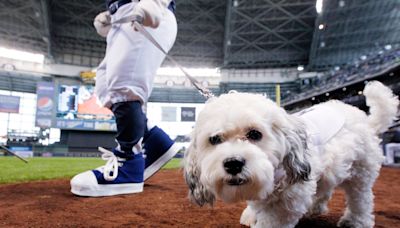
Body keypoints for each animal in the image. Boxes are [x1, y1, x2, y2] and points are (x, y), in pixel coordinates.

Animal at [183, 81, 398, 227]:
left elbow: (273, 220)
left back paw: (355, 221)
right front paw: (252, 214)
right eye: (215, 139)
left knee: (361, 199)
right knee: (325, 189)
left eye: (255, 134)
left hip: (361, 172)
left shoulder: (288, 201)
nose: (233, 163)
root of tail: (366, 120)